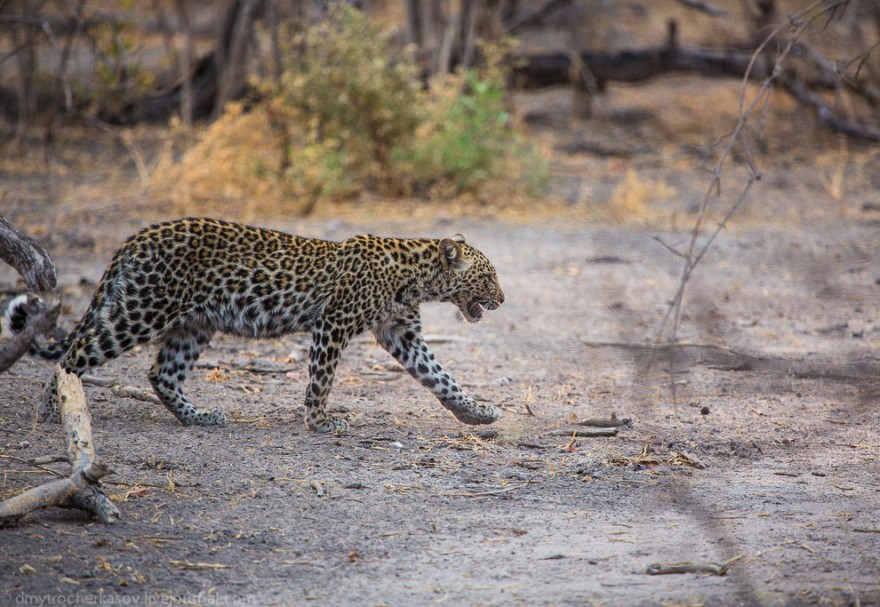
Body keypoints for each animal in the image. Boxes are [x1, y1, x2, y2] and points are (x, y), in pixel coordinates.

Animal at [24, 218, 506, 432]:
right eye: (488, 277)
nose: (502, 300)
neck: (415, 277)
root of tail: (137, 237)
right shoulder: (333, 323)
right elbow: (321, 378)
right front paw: (319, 421)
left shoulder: (401, 334)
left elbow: (441, 376)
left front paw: (476, 412)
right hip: (142, 311)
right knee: (74, 354)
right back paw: (55, 409)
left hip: (194, 324)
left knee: (162, 373)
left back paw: (199, 417)